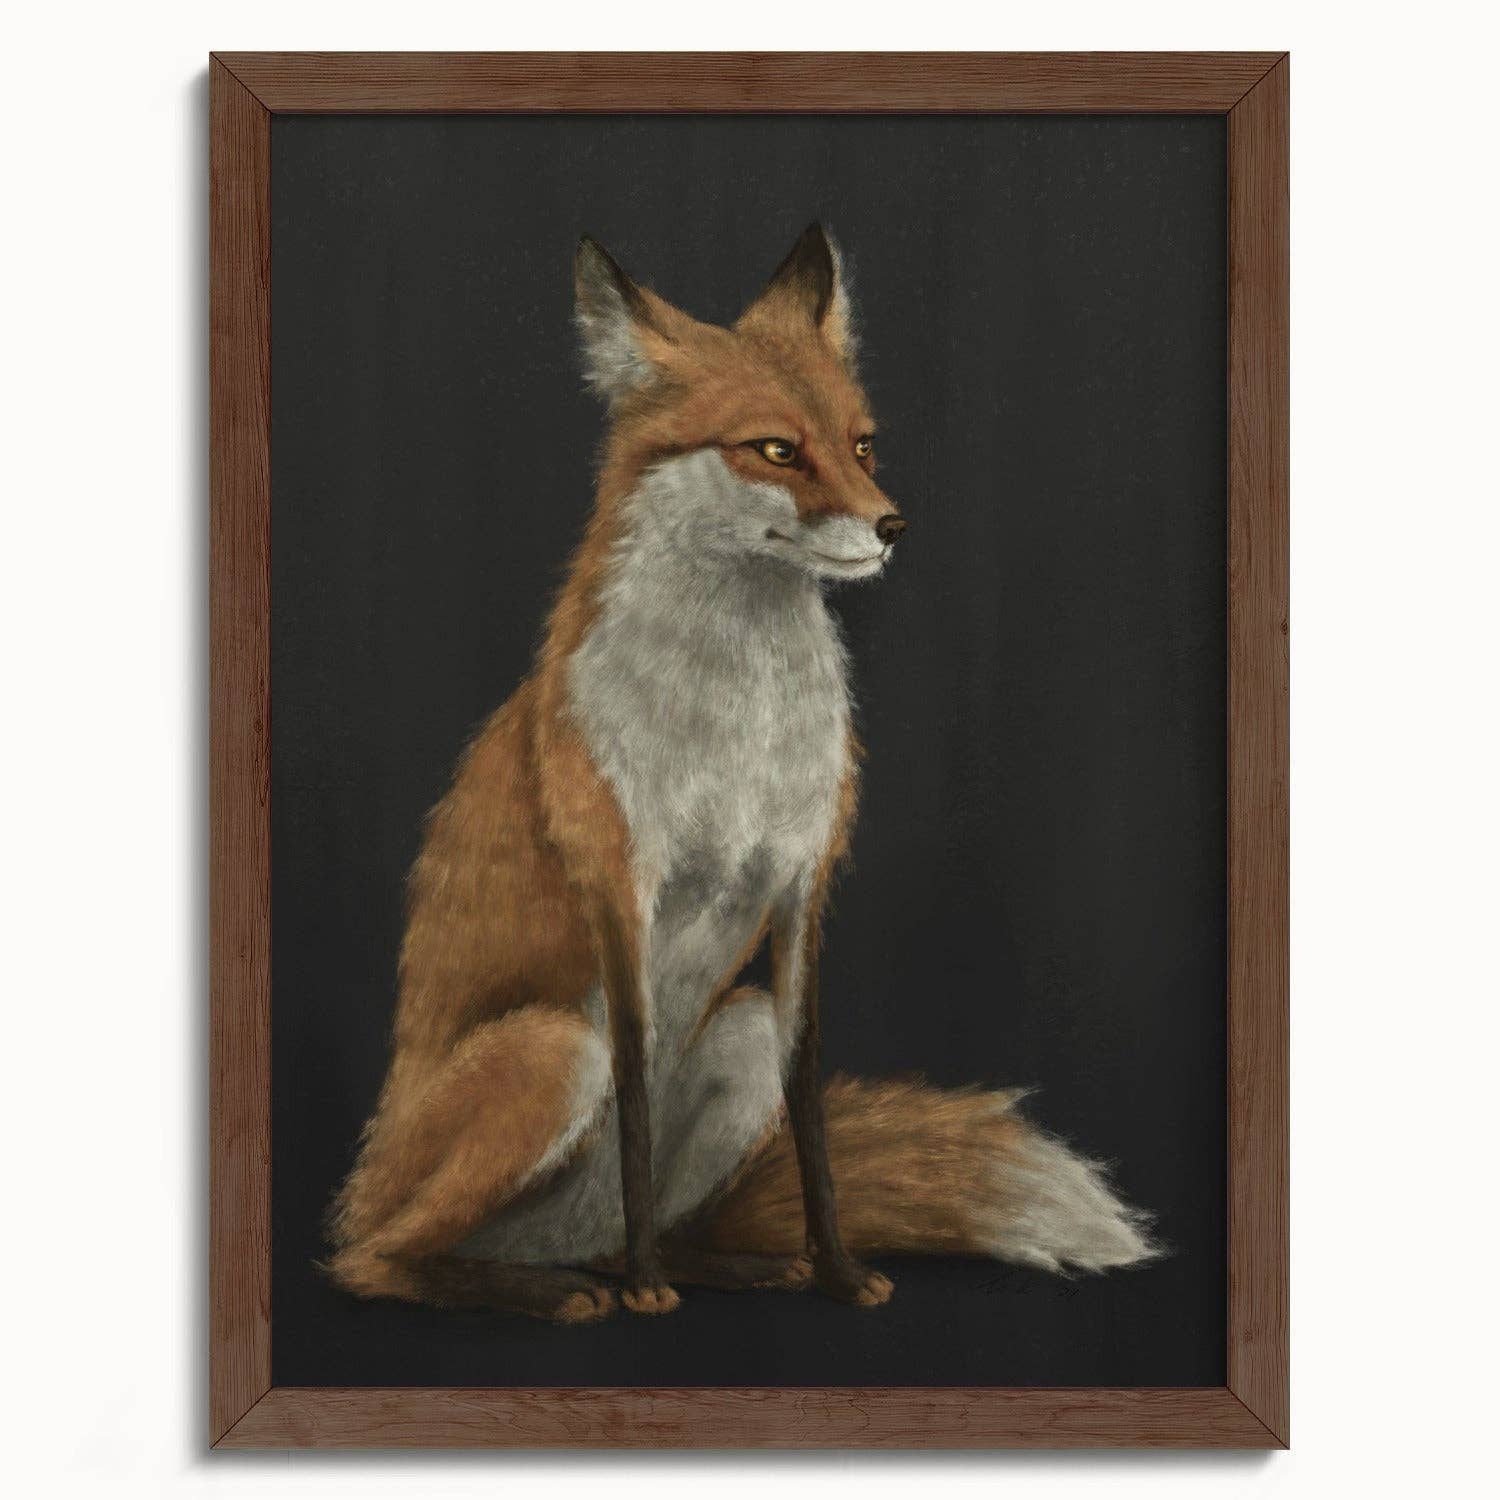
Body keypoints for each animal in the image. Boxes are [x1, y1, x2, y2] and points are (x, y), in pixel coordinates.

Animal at [326, 224, 1155, 1323]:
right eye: (774, 449)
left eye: (862, 444)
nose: (892, 525)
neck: (740, 730)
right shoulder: (621, 887)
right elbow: (636, 1098)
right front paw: (648, 1291)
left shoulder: (803, 885)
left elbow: (810, 1112)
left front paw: (835, 1271)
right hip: (552, 1052)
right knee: (377, 1260)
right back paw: (563, 1287)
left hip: (738, 1033)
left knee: (637, 1223)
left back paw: (717, 1265)